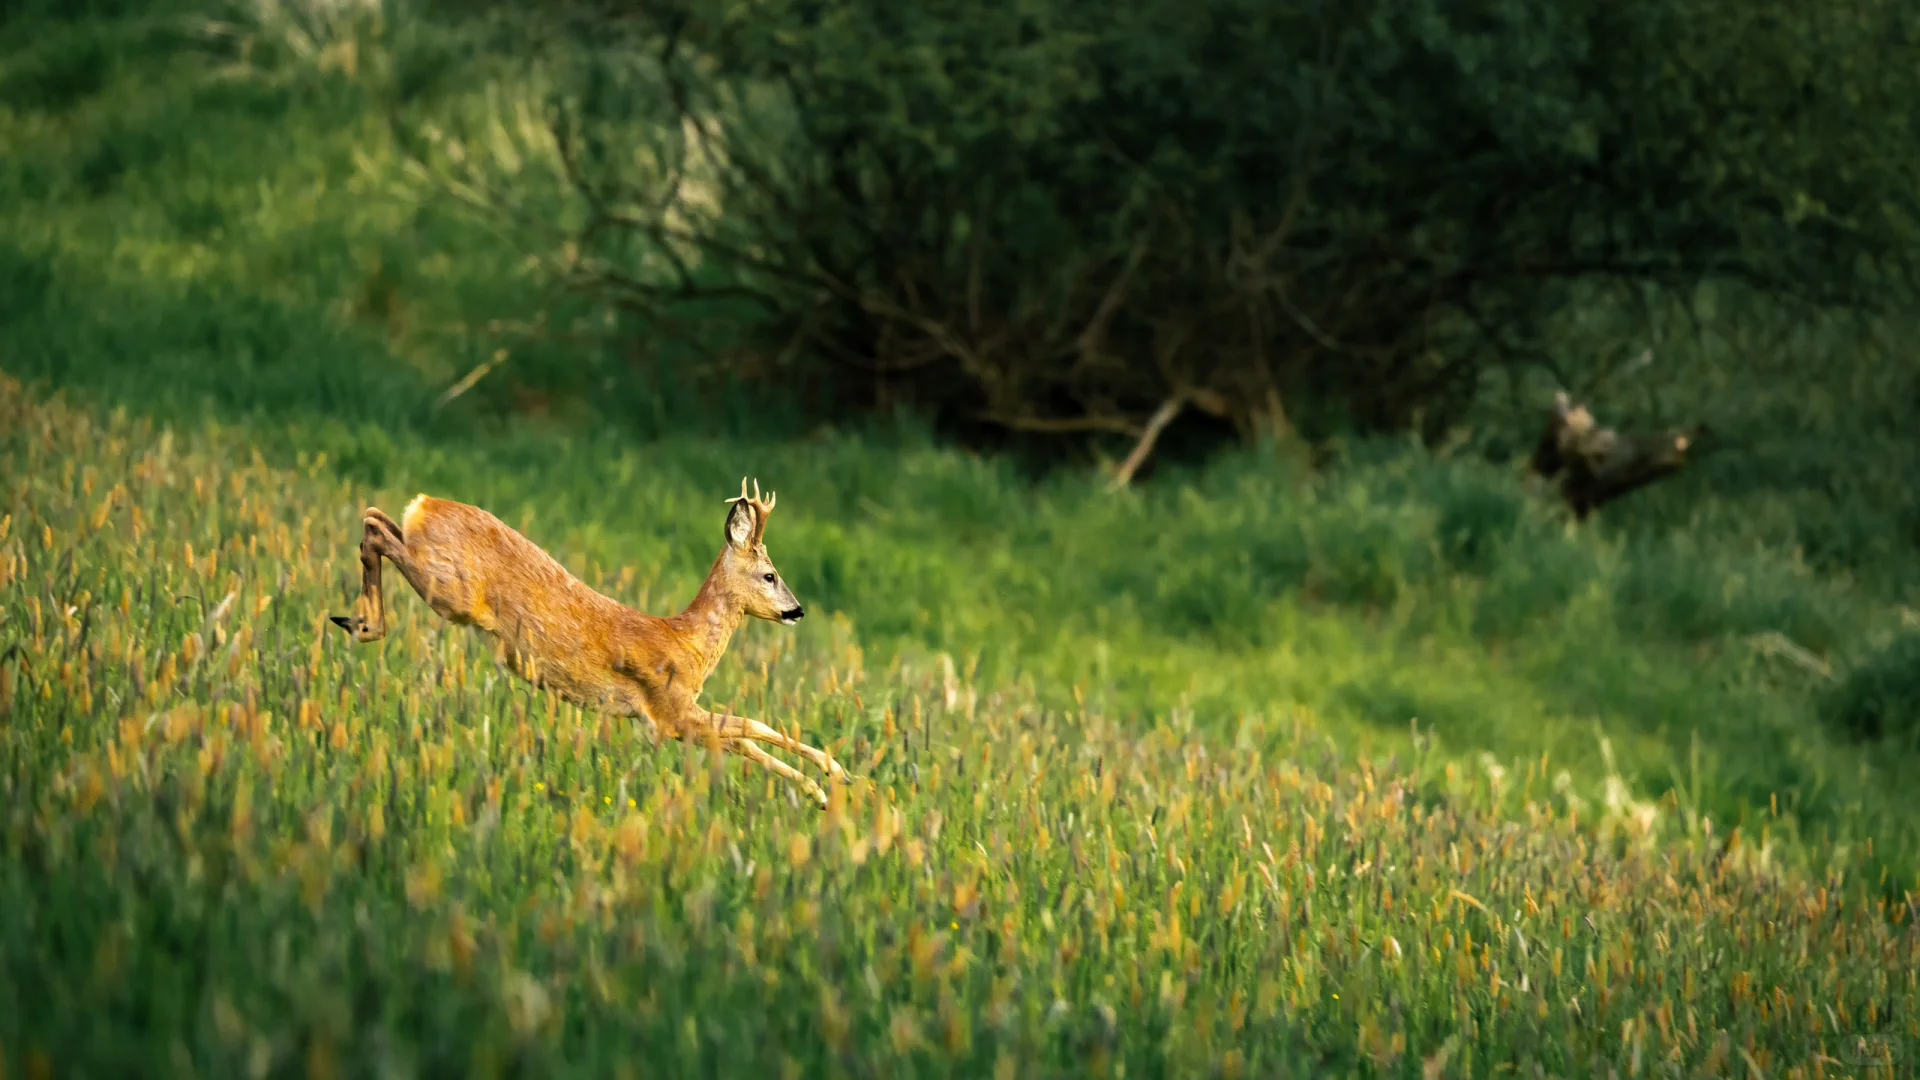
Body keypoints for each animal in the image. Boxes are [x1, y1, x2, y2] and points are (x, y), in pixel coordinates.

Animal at [328, 476, 848, 799]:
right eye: (769, 574)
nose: (797, 610)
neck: (687, 643)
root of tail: (424, 504)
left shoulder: (676, 717)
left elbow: (747, 740)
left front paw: (824, 788)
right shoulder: (668, 712)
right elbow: (754, 726)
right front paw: (830, 777)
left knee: (376, 516)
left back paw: (354, 620)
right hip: (449, 589)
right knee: (376, 529)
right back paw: (366, 624)